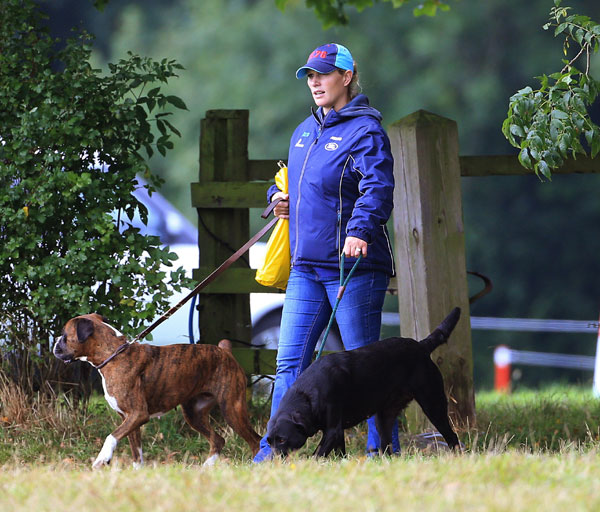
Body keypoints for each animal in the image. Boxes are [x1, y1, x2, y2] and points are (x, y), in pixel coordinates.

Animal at [55, 312, 262, 468]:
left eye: (65, 336)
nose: (55, 342)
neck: (113, 354)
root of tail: (225, 352)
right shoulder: (129, 419)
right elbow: (136, 452)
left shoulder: (138, 414)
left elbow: (111, 437)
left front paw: (102, 458)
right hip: (194, 414)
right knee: (218, 440)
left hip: (232, 409)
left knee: (256, 441)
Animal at [266, 306, 460, 458]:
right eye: (269, 442)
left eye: (282, 439)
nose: (274, 462)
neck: (306, 395)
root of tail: (421, 346)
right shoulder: (338, 432)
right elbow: (339, 453)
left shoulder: (333, 430)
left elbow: (317, 455)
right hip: (384, 416)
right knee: (386, 447)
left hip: (433, 404)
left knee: (452, 437)